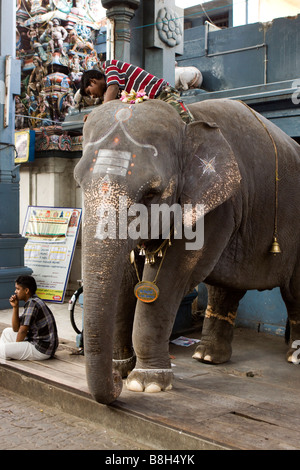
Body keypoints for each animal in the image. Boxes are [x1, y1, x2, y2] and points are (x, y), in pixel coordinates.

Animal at [74, 96, 300, 404]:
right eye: (78, 183)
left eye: (151, 193)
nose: (115, 385)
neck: (185, 119)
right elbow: (126, 278)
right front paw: (121, 370)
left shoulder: (217, 207)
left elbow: (169, 277)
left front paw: (146, 383)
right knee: (225, 289)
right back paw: (207, 357)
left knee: (295, 291)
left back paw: (295, 357)